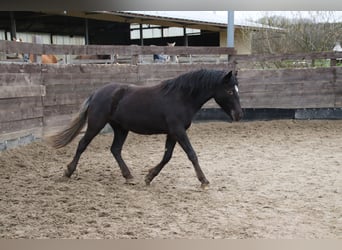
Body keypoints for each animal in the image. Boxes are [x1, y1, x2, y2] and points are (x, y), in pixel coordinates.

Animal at [46, 68, 242, 188]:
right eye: (230, 91)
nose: (239, 114)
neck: (181, 97)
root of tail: (96, 93)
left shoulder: (172, 133)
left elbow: (167, 156)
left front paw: (149, 177)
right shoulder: (178, 131)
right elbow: (191, 154)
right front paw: (204, 181)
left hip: (121, 129)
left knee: (115, 149)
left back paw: (128, 176)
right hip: (96, 124)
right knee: (82, 144)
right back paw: (68, 172)